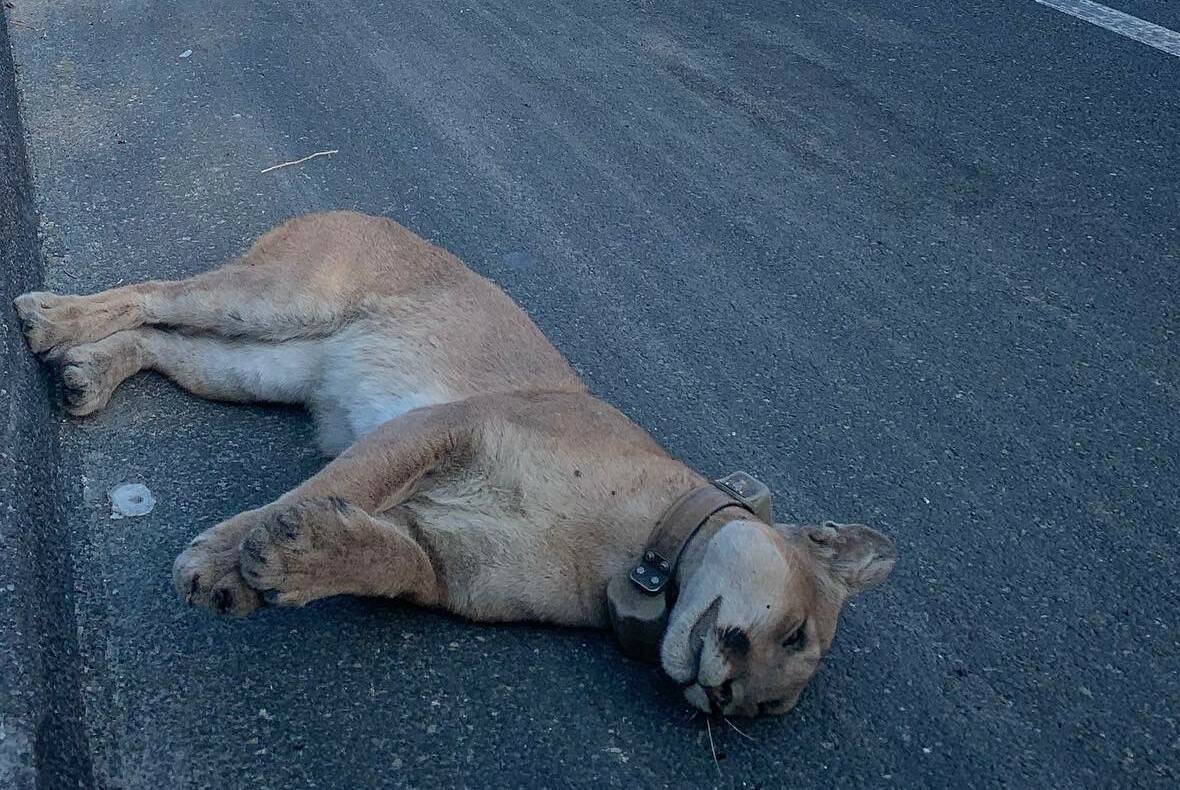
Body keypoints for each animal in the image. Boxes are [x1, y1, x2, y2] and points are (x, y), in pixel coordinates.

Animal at [16, 209, 892, 713]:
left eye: (768, 713)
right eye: (796, 635)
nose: (726, 698)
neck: (633, 552)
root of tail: (348, 204)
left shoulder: (447, 564)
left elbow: (381, 557)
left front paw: (300, 558)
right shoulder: (450, 425)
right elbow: (341, 480)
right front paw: (227, 558)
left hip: (269, 367)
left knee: (166, 344)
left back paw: (86, 371)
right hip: (274, 300)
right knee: (158, 294)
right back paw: (50, 318)